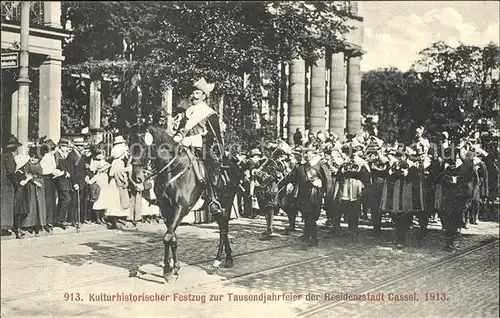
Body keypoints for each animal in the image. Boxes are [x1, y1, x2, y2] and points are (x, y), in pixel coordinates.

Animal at [124, 123, 243, 282]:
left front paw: (169, 270)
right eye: (129, 145)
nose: (136, 178)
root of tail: (233, 166)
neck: (172, 170)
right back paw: (228, 258)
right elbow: (171, 237)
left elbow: (167, 237)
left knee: (224, 230)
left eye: (142, 145)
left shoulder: (182, 208)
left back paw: (218, 260)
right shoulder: (166, 210)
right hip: (217, 209)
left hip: (227, 204)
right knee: (223, 228)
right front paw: (172, 267)